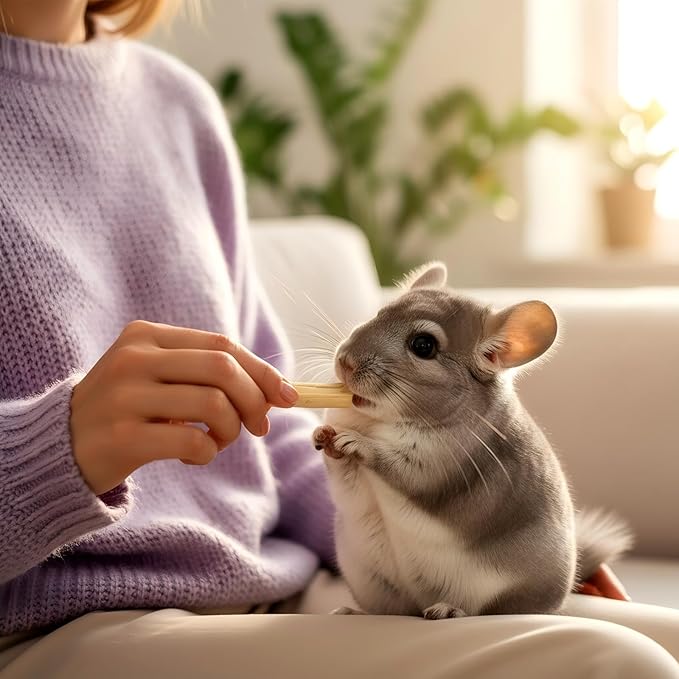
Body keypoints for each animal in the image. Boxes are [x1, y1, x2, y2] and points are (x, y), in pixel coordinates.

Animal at [312, 261, 632, 618]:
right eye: (379, 313)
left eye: (423, 345)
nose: (345, 361)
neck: (379, 421)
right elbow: (342, 476)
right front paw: (324, 436)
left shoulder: (438, 465)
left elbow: (398, 467)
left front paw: (353, 442)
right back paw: (352, 612)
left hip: (505, 596)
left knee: (486, 611)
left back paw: (448, 611)